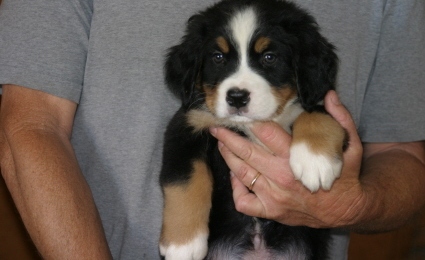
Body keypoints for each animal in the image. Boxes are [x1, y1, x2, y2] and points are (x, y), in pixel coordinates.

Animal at [158, 1, 344, 258]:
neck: (249, 125)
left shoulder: (320, 101)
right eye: (218, 57)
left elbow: (316, 114)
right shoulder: (187, 126)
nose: (237, 97)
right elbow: (185, 182)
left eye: (269, 57)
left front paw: (315, 161)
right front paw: (183, 245)